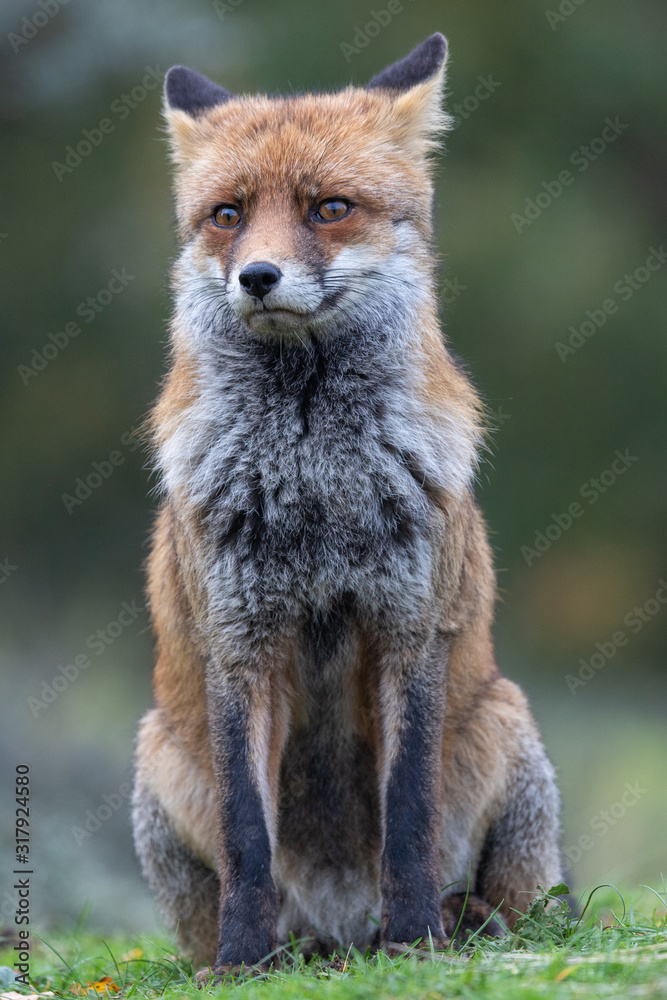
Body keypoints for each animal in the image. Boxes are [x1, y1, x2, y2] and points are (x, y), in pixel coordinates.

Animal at [132, 33, 563, 980]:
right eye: (227, 214)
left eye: (328, 208)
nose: (257, 277)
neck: (314, 482)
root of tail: (337, 930)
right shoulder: (240, 644)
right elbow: (248, 838)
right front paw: (241, 962)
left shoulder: (409, 631)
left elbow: (407, 817)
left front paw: (415, 940)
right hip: (157, 756)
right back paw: (276, 952)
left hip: (506, 723)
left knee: (532, 906)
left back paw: (452, 924)